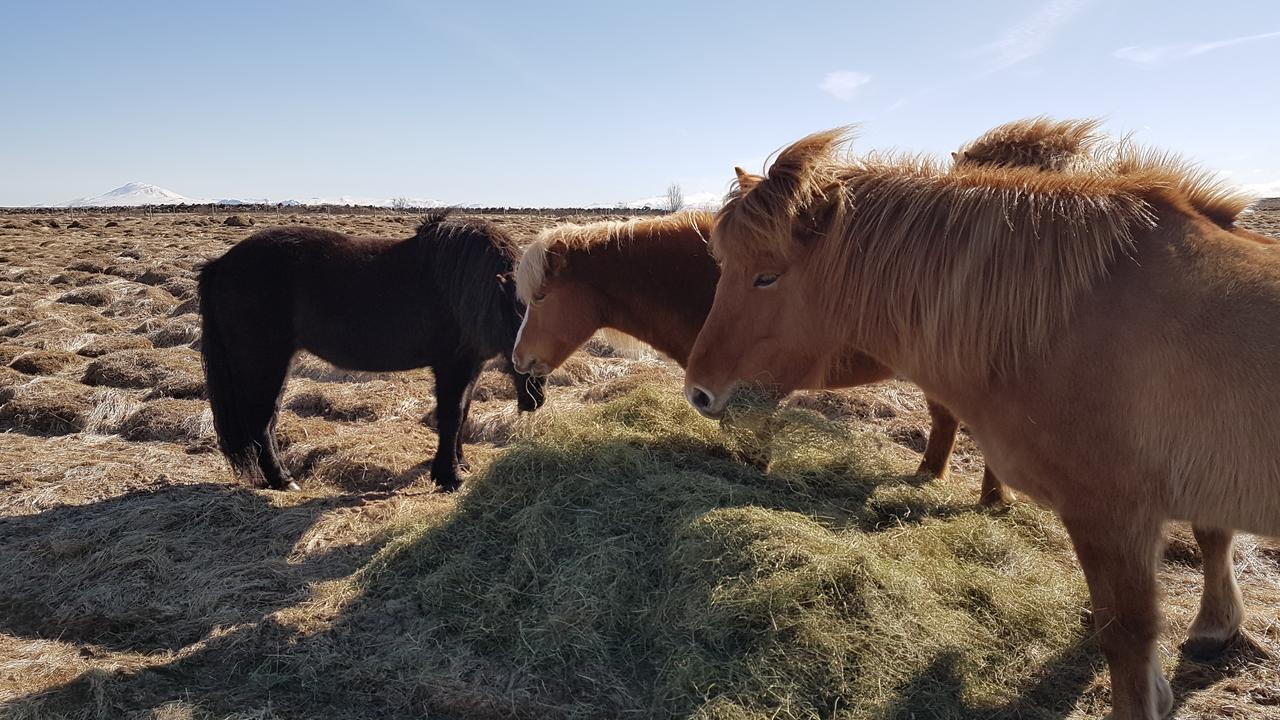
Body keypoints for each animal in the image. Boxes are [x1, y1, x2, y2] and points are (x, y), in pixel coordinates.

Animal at [198, 210, 545, 489]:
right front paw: (449, 477)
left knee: (268, 421)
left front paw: (459, 464)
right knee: (260, 420)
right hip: (265, 363)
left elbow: (464, 412)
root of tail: (221, 264)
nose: (535, 400)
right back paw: (282, 480)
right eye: (519, 323)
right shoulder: (452, 366)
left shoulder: (471, 365)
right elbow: (452, 415)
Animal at [509, 207, 998, 499]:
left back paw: (991, 499)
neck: (701, 280)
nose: (517, 360)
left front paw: (755, 472)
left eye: (540, 297)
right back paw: (930, 477)